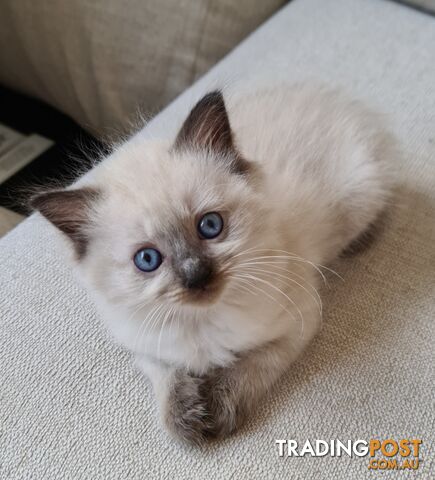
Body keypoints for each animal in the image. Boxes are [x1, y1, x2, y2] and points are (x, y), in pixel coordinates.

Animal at [31, 84, 396, 444]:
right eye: (147, 260)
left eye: (210, 226)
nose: (196, 275)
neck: (200, 322)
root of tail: (329, 95)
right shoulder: (146, 345)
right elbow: (168, 380)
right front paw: (187, 420)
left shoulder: (297, 323)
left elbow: (247, 369)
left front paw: (217, 414)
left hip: (360, 197)